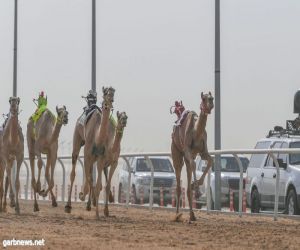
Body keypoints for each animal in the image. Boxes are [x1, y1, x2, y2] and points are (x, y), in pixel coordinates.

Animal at [78, 86, 115, 219]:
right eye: (105, 92)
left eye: (113, 92)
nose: (110, 100)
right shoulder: (87, 155)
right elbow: (90, 179)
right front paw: (84, 196)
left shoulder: (101, 156)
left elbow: (98, 184)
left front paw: (98, 213)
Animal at [171, 92, 213, 221]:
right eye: (203, 99)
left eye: (212, 98)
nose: (210, 105)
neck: (196, 132)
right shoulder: (187, 150)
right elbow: (195, 164)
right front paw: (198, 190)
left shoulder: (203, 152)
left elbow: (211, 160)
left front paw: (196, 184)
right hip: (176, 152)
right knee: (179, 182)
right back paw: (177, 215)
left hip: (187, 158)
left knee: (188, 186)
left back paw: (192, 215)